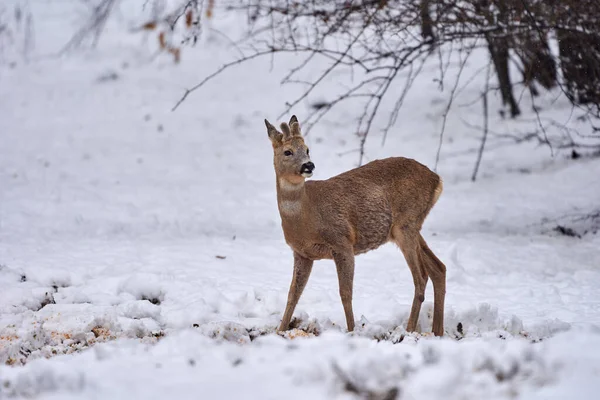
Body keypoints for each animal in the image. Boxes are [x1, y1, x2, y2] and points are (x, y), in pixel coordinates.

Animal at [268, 115, 446, 334]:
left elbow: (345, 293)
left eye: (307, 149)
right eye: (287, 151)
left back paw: (410, 329)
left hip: (406, 223)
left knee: (421, 277)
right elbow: (293, 294)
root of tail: (436, 179)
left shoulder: (342, 241)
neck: (306, 216)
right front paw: (280, 330)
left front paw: (352, 330)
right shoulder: (302, 253)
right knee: (438, 268)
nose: (308, 165)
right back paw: (437, 331)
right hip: (408, 227)